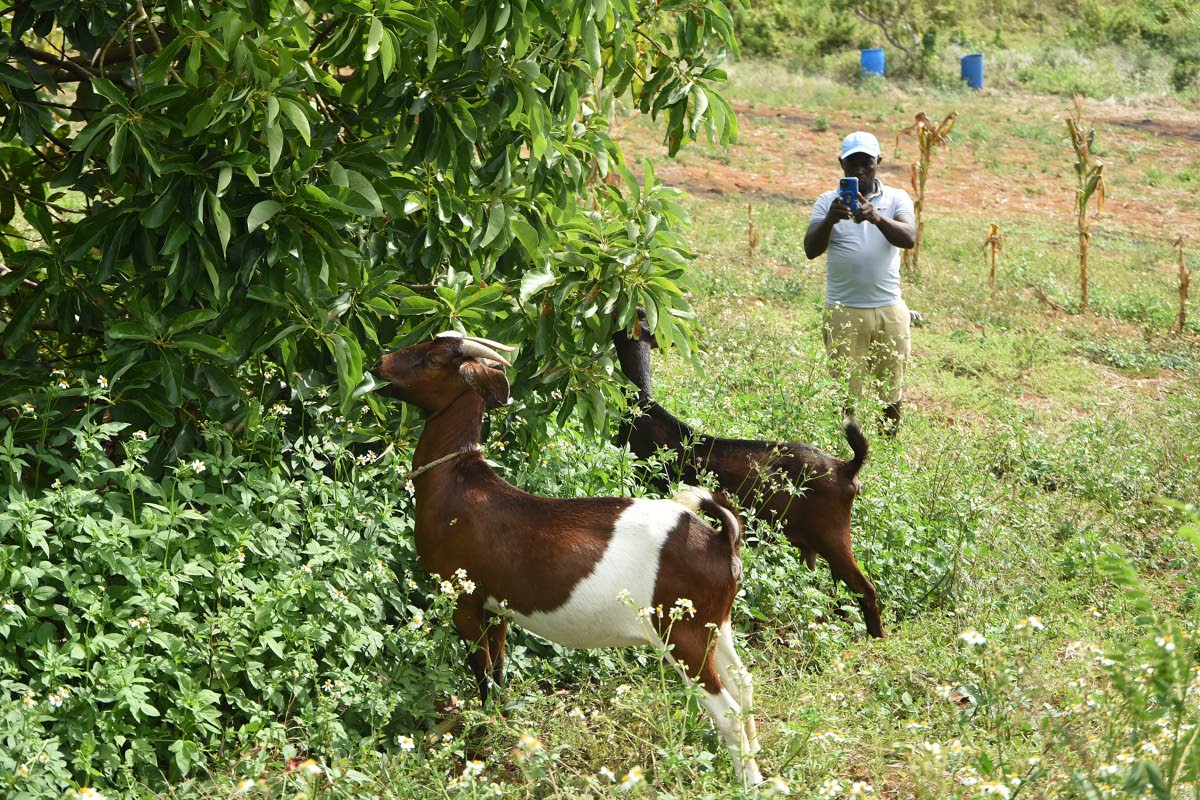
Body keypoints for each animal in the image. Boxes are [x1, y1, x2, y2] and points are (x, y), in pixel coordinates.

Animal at [371, 331, 764, 785]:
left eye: (434, 359)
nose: (379, 364)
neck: (456, 481)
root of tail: (722, 541)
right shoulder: (497, 607)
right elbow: (498, 671)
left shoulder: (465, 600)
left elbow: (483, 672)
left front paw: (478, 746)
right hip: (715, 624)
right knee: (744, 683)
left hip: (681, 633)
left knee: (728, 708)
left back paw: (749, 782)